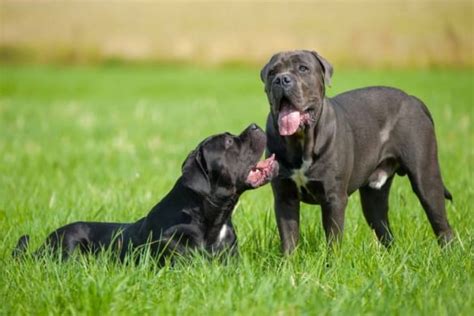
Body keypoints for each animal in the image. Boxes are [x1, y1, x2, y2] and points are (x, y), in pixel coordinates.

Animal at [262, 50, 454, 254]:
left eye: (303, 68)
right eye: (272, 72)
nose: (281, 79)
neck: (300, 142)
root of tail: (414, 100)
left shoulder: (334, 198)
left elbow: (333, 240)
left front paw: (332, 262)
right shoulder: (284, 197)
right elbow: (288, 238)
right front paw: (288, 262)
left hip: (426, 180)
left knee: (442, 224)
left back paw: (448, 255)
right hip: (373, 198)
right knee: (384, 230)